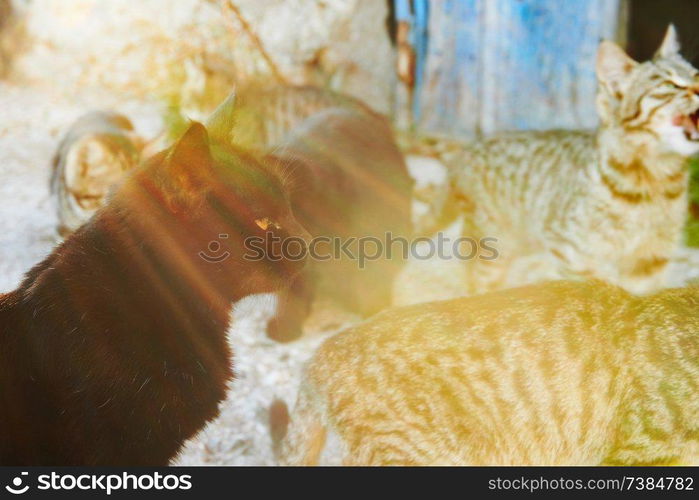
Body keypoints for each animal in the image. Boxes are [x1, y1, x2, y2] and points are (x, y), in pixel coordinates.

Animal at [422, 25, 699, 294]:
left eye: (696, 75)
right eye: (671, 85)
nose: (698, 86)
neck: (655, 179)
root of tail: (469, 147)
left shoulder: (650, 261)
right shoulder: (571, 253)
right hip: (492, 245)